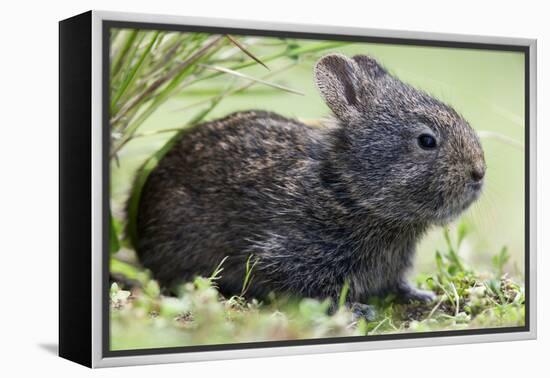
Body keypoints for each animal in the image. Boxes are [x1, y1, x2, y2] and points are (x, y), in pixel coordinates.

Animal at [135, 53, 488, 314]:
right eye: (426, 140)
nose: (479, 173)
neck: (348, 190)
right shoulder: (291, 255)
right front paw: (357, 310)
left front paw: (420, 296)